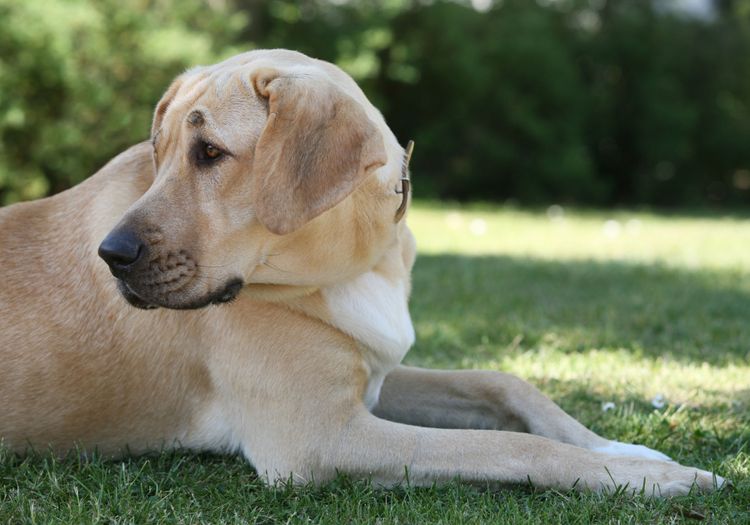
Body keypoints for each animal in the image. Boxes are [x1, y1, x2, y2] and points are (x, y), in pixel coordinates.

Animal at [0, 49, 728, 496]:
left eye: (208, 152)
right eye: (161, 152)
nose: (110, 255)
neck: (353, 267)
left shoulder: (373, 373)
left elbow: (504, 383)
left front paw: (629, 451)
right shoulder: (320, 437)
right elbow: (513, 447)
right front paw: (651, 480)